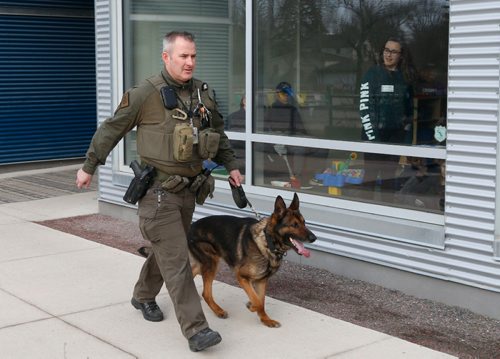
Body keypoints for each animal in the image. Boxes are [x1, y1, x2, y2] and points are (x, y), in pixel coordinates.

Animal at [188, 194, 316, 330]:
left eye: (304, 223)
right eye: (294, 225)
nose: (314, 238)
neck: (268, 242)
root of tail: (191, 226)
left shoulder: (261, 281)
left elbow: (261, 301)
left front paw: (266, 320)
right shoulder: (242, 277)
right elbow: (257, 301)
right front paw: (252, 306)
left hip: (203, 264)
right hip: (211, 263)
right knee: (206, 293)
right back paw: (219, 311)